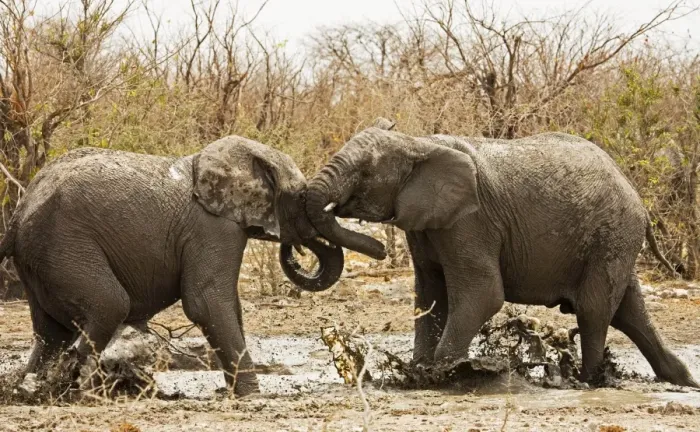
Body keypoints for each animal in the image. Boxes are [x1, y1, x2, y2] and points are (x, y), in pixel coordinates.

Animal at [0, 136, 343, 396]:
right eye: (300, 197)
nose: (295, 246)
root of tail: (17, 216)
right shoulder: (212, 229)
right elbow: (206, 303)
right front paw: (253, 395)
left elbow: (229, 306)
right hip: (64, 246)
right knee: (109, 305)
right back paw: (77, 391)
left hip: (43, 260)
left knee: (52, 333)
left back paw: (32, 389)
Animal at [303, 118, 698, 388]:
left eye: (366, 171)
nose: (380, 249)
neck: (418, 143)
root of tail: (638, 200)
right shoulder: (428, 223)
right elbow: (430, 296)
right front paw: (417, 372)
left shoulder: (470, 221)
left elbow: (482, 294)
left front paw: (444, 375)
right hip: (614, 242)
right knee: (629, 313)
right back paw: (680, 381)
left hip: (612, 236)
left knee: (595, 310)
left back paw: (586, 381)